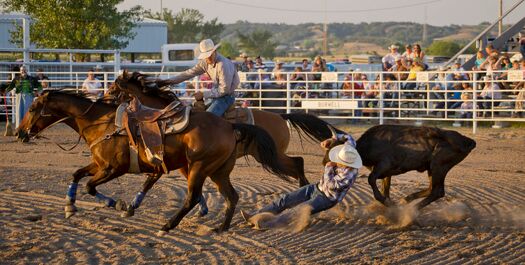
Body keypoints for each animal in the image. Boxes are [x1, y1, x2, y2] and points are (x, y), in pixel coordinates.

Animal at [17, 89, 286, 233]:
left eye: (32, 108)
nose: (20, 133)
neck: (101, 123)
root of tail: (230, 126)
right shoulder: (100, 165)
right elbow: (77, 175)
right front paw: (69, 206)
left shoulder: (114, 168)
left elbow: (90, 186)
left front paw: (118, 205)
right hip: (218, 171)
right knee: (232, 196)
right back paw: (220, 228)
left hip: (199, 168)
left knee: (192, 197)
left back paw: (167, 226)